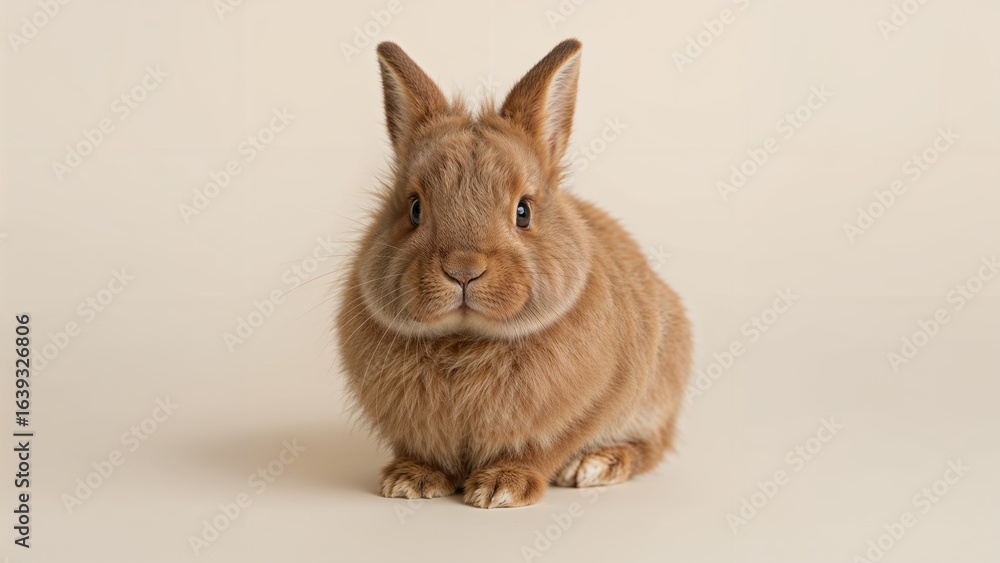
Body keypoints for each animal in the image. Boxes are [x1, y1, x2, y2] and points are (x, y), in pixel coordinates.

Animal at [336, 38, 692, 509]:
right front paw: (410, 481)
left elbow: (543, 447)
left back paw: (597, 466)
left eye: (523, 211)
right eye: (413, 208)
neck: (466, 339)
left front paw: (502, 487)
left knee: (651, 446)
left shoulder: (585, 408)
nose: (463, 270)